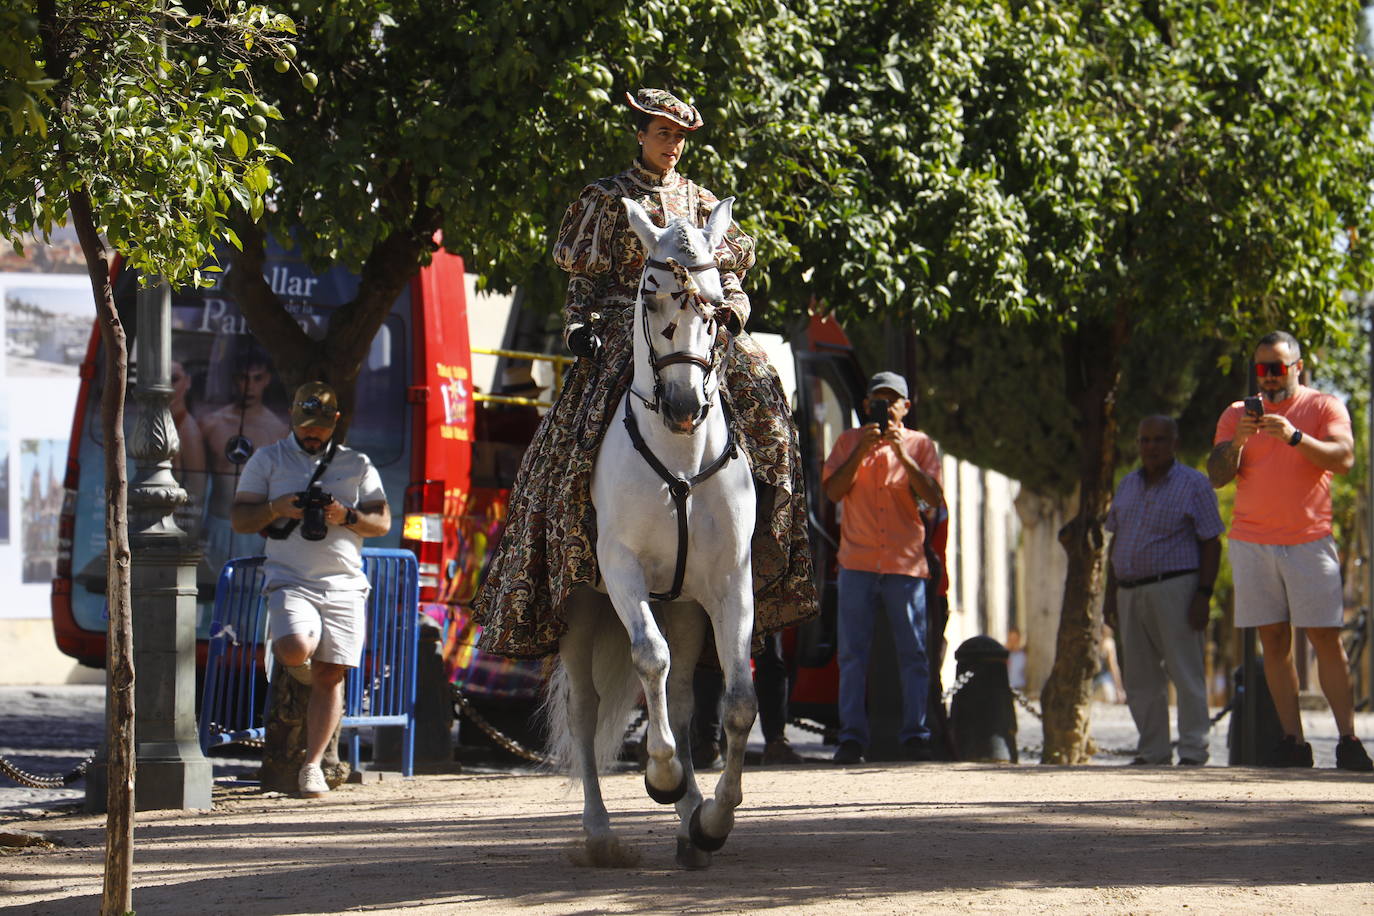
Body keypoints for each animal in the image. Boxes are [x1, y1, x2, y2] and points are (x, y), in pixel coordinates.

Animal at [541, 197, 758, 873]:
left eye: (714, 305)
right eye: (650, 296)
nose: (684, 404)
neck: (681, 461)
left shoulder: (730, 582)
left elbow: (737, 702)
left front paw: (713, 819)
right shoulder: (620, 571)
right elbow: (648, 657)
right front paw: (661, 777)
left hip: (685, 608)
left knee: (685, 698)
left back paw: (691, 823)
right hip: (582, 610)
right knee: (587, 712)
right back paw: (601, 834)